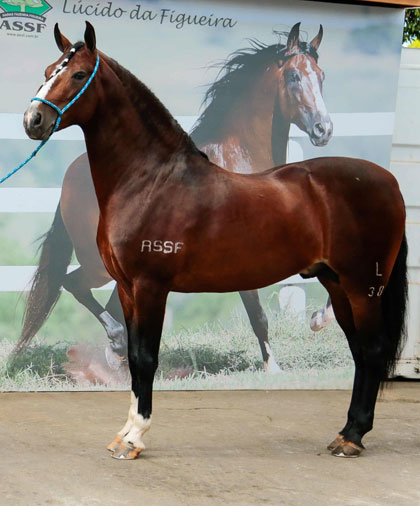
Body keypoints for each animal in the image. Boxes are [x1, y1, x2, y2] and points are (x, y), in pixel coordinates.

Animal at [14, 21, 334, 374]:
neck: (239, 163)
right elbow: (257, 312)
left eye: (321, 75)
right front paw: (273, 368)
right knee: (74, 284)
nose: (323, 129)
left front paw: (317, 321)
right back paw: (117, 347)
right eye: (293, 76)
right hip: (99, 263)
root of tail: (72, 175)